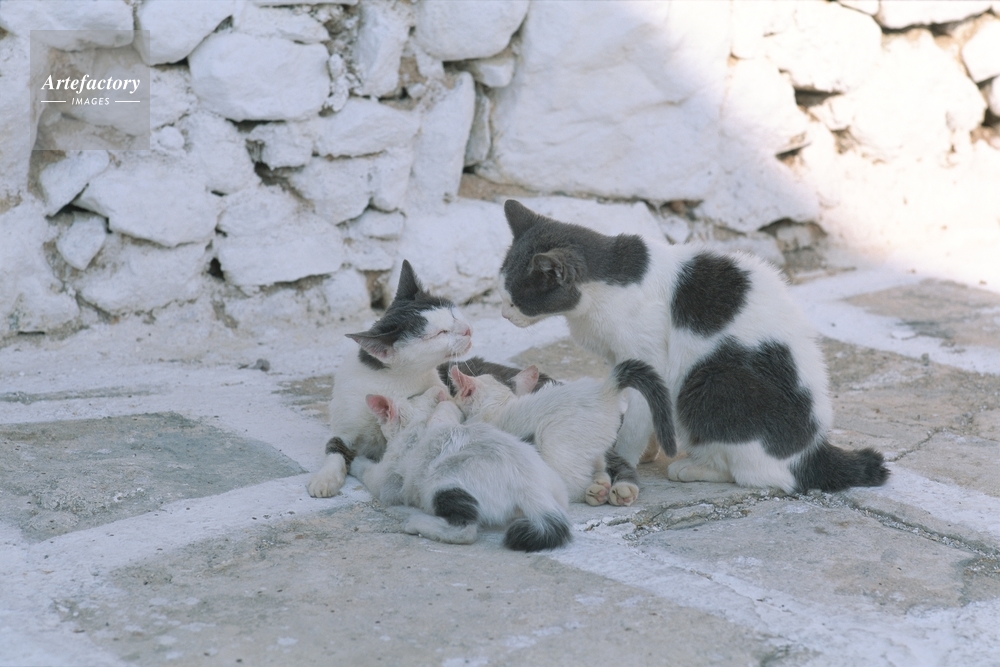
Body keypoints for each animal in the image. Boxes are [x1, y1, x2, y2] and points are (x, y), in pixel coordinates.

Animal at [306, 260, 472, 498]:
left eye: (453, 314)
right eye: (439, 334)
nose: (467, 329)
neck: (397, 381)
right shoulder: (345, 422)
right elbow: (334, 448)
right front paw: (325, 478)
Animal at [351, 386, 572, 551]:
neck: (418, 422)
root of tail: (532, 485)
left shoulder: (387, 480)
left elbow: (369, 473)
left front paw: (355, 461)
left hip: (441, 482)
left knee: (465, 531)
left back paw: (416, 523)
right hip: (556, 485)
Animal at [449, 359, 669, 506]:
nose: (453, 397)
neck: (498, 405)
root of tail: (605, 391)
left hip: (556, 446)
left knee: (573, 482)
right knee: (601, 465)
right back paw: (601, 482)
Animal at [496, 200, 889, 494]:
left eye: (516, 299)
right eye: (502, 291)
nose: (502, 313)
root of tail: (812, 452)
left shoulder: (648, 357)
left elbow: (636, 419)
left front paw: (619, 465)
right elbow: (647, 409)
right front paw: (647, 451)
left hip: (710, 382)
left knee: (756, 474)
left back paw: (692, 468)